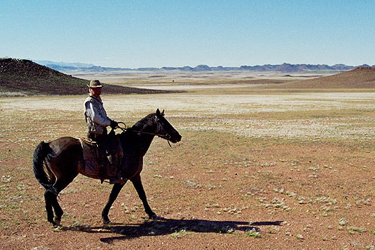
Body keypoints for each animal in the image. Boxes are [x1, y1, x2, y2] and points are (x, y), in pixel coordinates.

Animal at [33, 109, 183, 227]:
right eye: (164, 123)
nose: (178, 136)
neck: (132, 144)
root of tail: (48, 145)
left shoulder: (135, 176)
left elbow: (142, 194)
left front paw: (151, 213)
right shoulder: (123, 178)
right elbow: (113, 196)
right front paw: (105, 217)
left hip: (54, 177)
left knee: (48, 193)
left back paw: (51, 218)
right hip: (65, 177)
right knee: (50, 193)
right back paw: (57, 217)